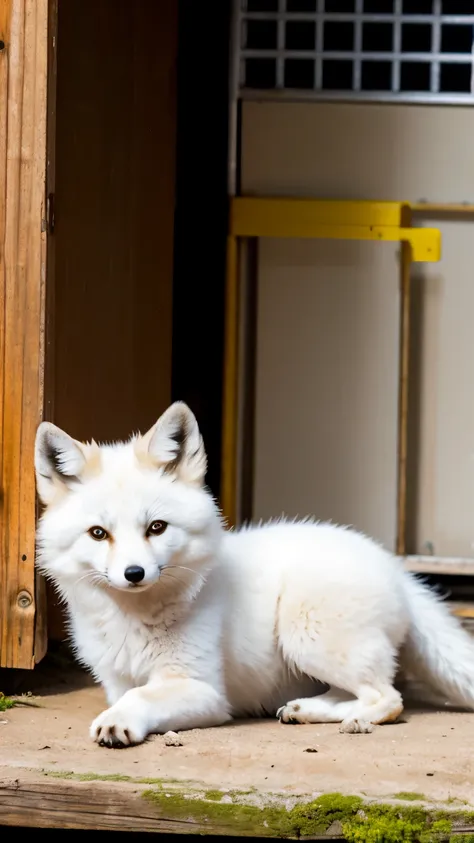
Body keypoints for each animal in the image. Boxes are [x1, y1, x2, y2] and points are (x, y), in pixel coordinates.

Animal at [35, 402, 474, 752]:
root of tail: (396, 568)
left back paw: (347, 718)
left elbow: (141, 697)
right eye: (98, 534)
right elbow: (129, 694)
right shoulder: (116, 683)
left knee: (388, 698)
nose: (134, 573)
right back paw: (306, 709)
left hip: (304, 633)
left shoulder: (207, 691)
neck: (135, 620)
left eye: (156, 528)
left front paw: (118, 721)